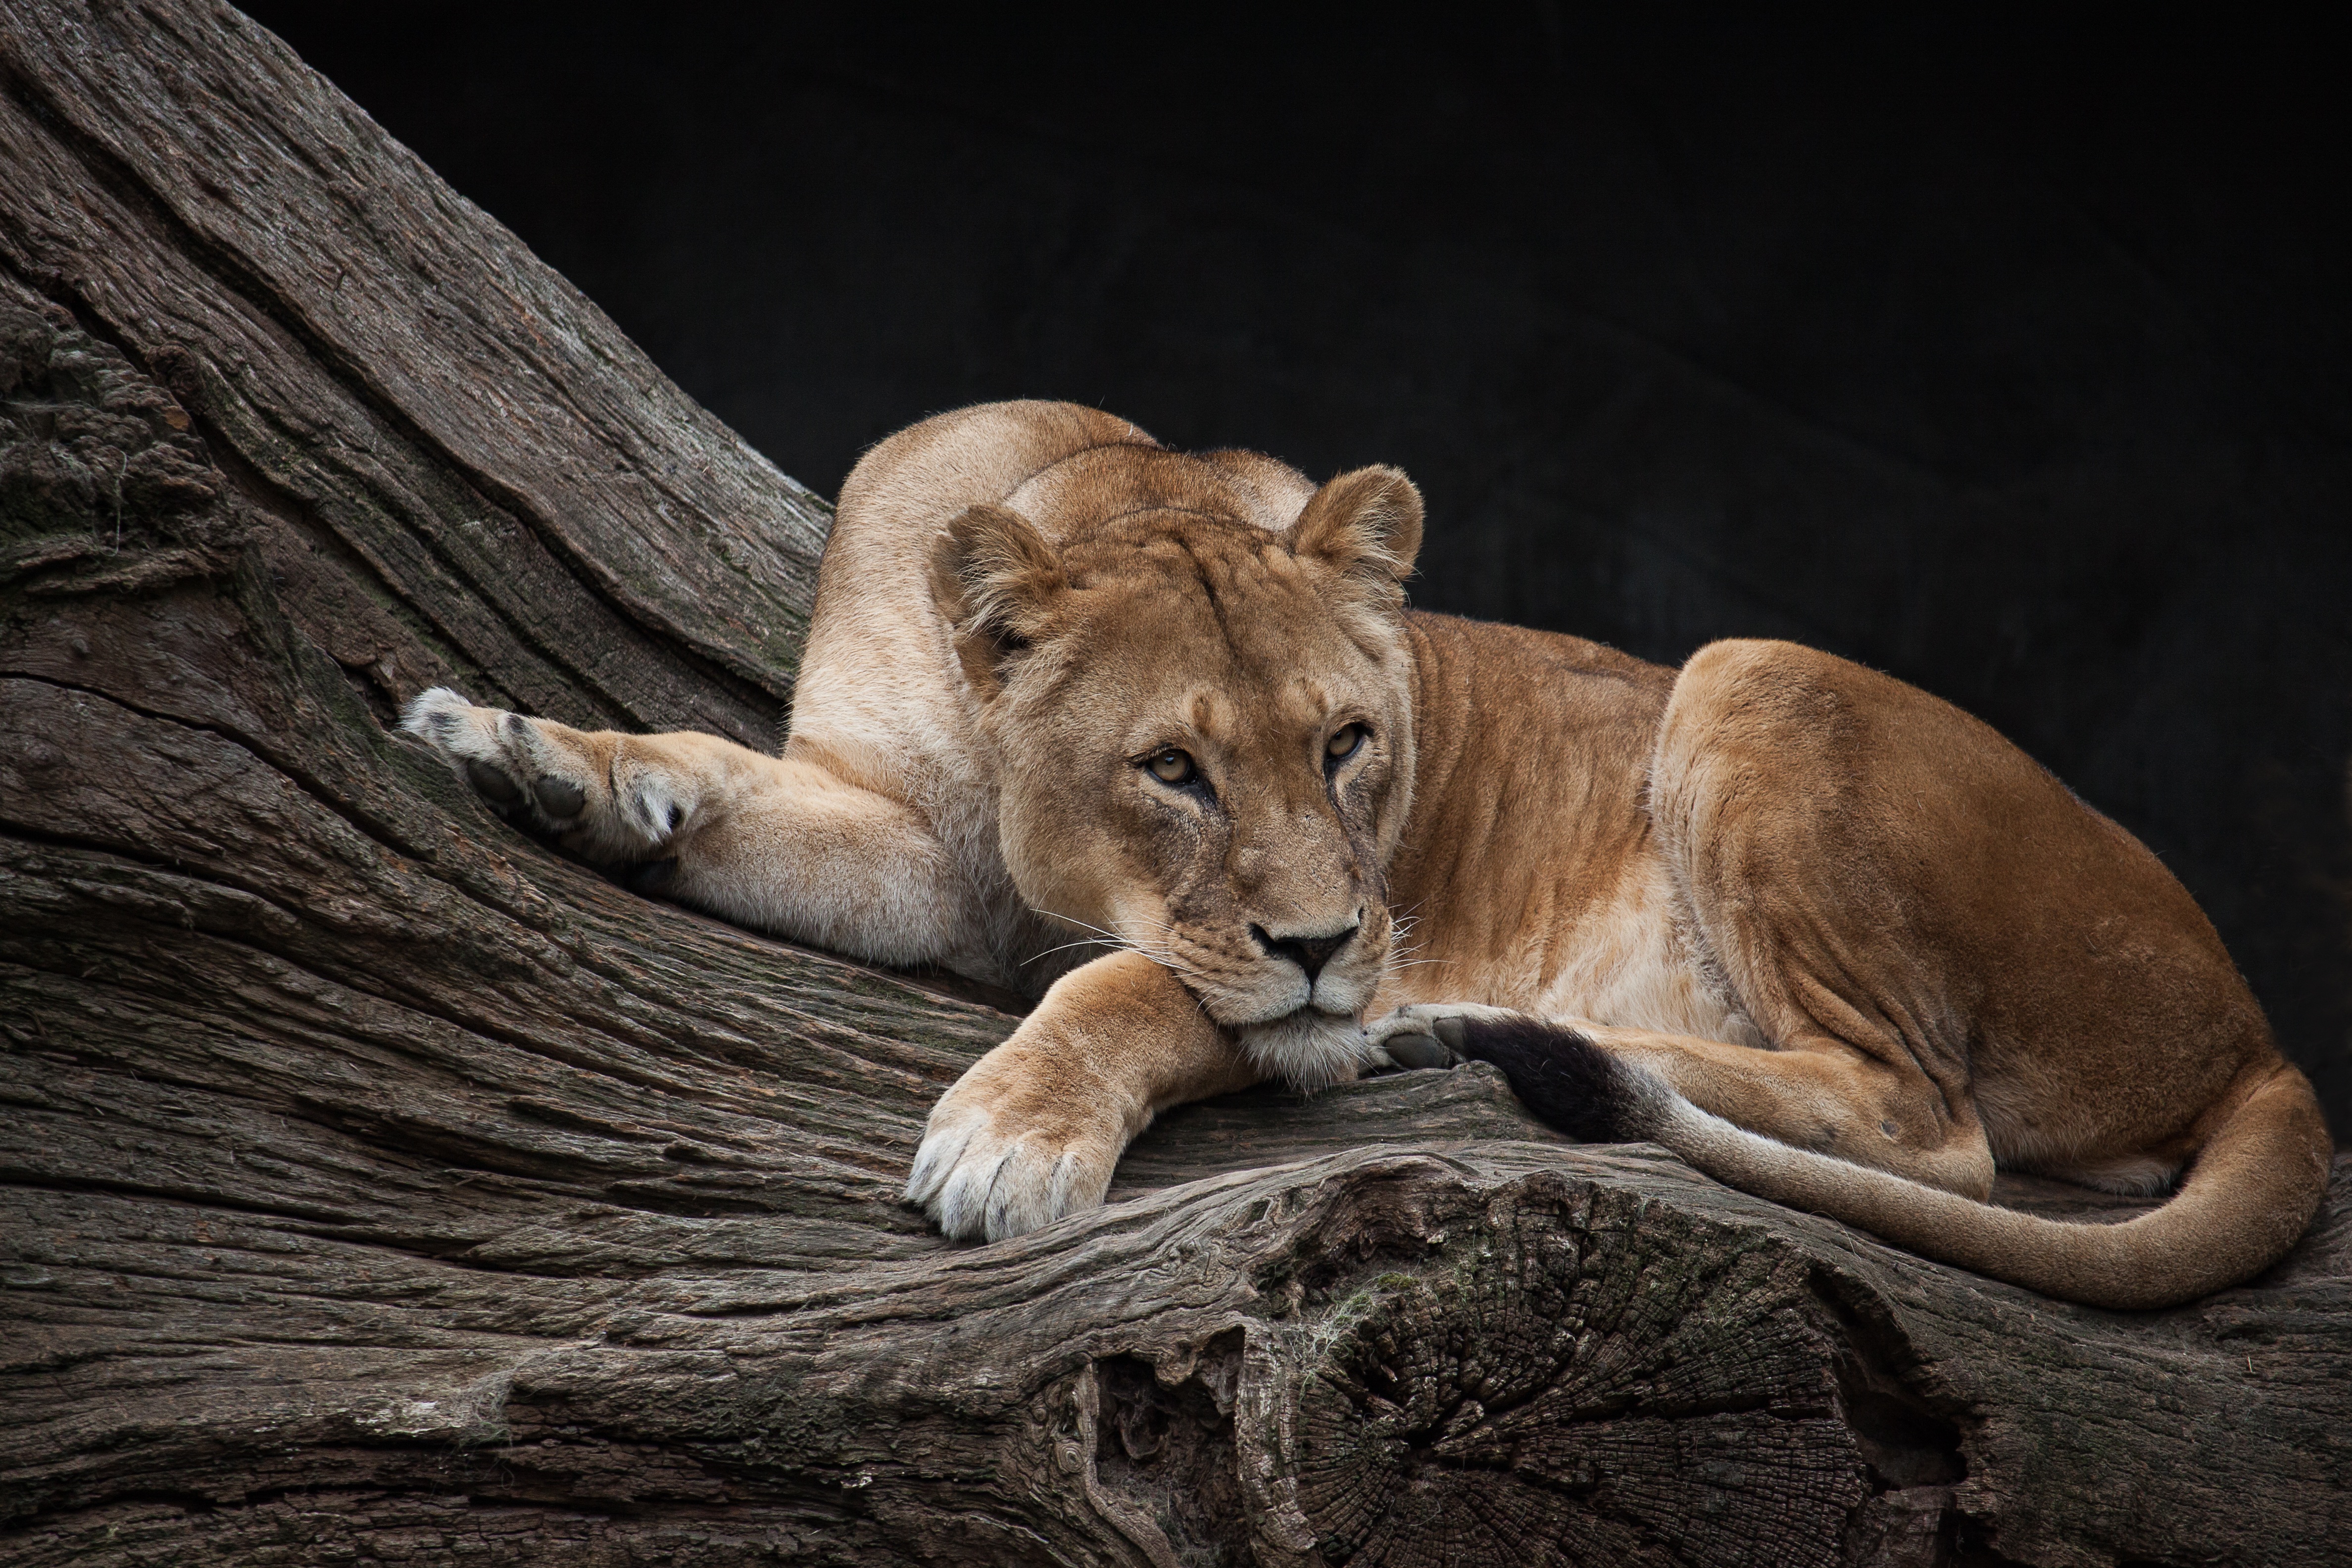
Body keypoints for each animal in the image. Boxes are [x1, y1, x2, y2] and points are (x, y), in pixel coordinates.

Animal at [403, 399, 2330, 1309]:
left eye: (1348, 743)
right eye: (1172, 768)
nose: (1340, 947)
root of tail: (2263, 1030)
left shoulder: (1239, 977)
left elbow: (1133, 988)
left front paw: (1011, 1141)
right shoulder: (907, 844)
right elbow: (726, 783)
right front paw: (537, 756)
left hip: (1745, 669)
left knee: (1930, 1124)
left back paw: (1455, 1029)